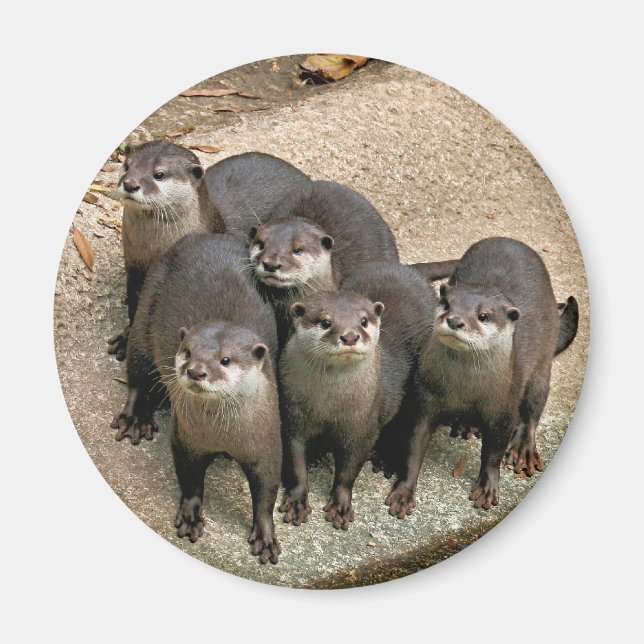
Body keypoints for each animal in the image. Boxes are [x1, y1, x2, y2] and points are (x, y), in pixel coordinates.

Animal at [107, 141, 224, 360]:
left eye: (159, 174)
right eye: (127, 165)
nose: (130, 184)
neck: (153, 253)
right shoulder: (133, 269)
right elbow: (135, 304)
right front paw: (126, 336)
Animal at [111, 234, 281, 563]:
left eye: (225, 359)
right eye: (187, 351)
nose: (196, 371)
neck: (222, 434)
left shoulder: (268, 442)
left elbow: (267, 489)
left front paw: (266, 536)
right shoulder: (185, 437)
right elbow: (189, 478)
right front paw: (191, 516)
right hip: (145, 313)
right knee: (137, 371)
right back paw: (136, 417)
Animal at [278, 262, 436, 529]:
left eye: (363, 320)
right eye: (325, 322)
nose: (350, 336)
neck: (328, 407)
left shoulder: (362, 427)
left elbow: (348, 471)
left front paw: (341, 506)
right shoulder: (292, 416)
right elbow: (295, 464)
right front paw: (297, 501)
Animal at [385, 237, 578, 516]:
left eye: (483, 316)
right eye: (446, 304)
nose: (455, 320)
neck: (465, 389)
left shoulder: (503, 408)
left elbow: (494, 451)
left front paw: (487, 488)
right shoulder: (424, 399)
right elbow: (413, 448)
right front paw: (403, 491)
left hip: (542, 361)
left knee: (534, 405)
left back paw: (523, 449)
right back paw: (467, 425)